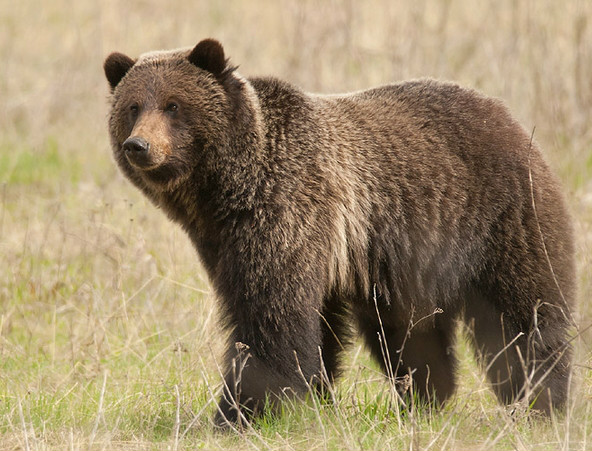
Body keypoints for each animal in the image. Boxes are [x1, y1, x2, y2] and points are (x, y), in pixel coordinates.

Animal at [105, 38, 572, 428]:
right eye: (133, 106)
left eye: (173, 105)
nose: (139, 146)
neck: (228, 191)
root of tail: (505, 114)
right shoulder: (225, 242)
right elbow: (310, 326)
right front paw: (310, 400)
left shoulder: (288, 214)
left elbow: (271, 319)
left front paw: (239, 413)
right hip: (407, 260)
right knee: (410, 333)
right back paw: (425, 398)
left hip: (500, 218)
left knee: (525, 314)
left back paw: (541, 402)